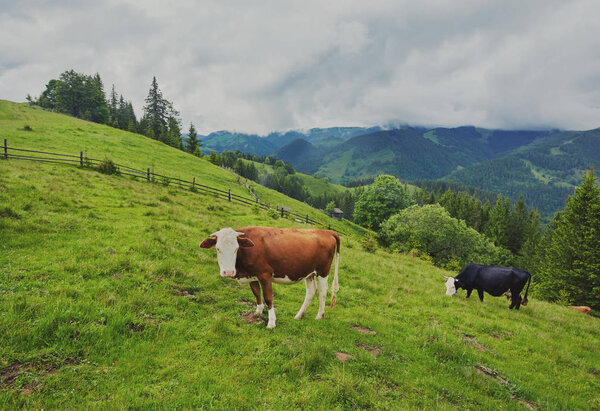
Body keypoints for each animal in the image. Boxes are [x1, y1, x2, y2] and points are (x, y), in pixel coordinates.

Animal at [199, 227, 340, 330]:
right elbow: (256, 293)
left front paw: (271, 322)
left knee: (323, 291)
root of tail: (326, 231)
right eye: (218, 249)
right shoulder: (252, 275)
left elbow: (268, 297)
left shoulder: (265, 274)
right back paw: (299, 315)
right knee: (311, 291)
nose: (228, 272)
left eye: (236, 248)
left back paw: (319, 316)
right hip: (309, 272)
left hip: (323, 271)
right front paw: (258, 312)